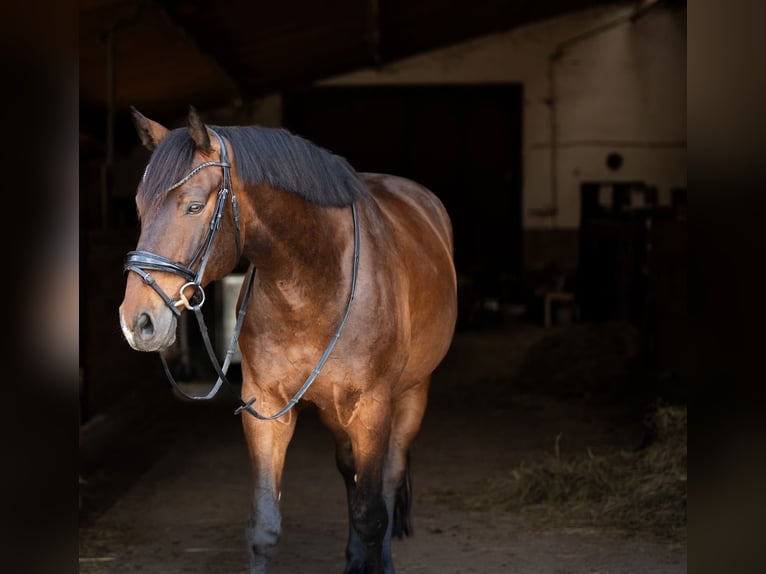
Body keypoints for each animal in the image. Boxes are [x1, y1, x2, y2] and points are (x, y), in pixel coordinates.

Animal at [118, 106, 457, 574]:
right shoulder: (266, 409)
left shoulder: (372, 408)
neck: (313, 281)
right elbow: (265, 526)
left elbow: (373, 513)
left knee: (388, 480)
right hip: (335, 412)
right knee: (349, 470)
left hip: (410, 396)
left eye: (193, 206)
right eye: (139, 207)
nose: (138, 321)